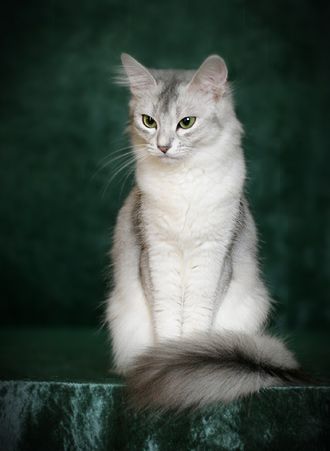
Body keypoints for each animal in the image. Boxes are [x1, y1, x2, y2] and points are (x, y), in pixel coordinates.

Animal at [105, 53, 304, 414]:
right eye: (148, 121)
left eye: (186, 122)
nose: (163, 147)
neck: (182, 186)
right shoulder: (157, 254)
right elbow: (169, 320)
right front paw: (167, 359)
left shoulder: (214, 255)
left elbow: (197, 321)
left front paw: (180, 360)